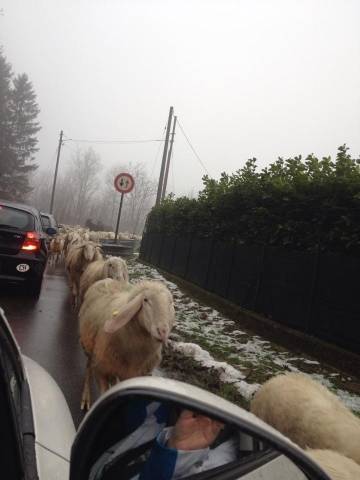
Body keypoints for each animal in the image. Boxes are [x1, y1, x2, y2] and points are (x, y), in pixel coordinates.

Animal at [79, 280, 176, 410]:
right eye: (145, 300)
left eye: (170, 302)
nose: (162, 331)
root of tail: (107, 279)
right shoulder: (101, 370)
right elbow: (104, 393)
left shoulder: (132, 375)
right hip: (89, 348)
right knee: (88, 367)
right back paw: (86, 398)